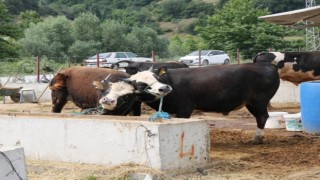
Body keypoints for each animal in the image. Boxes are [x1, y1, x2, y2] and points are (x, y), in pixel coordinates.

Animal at [97, 63, 280, 143]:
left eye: (156, 77)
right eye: (141, 84)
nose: (164, 88)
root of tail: (267, 65)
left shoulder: (185, 109)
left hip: (258, 101)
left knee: (262, 117)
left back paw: (257, 139)